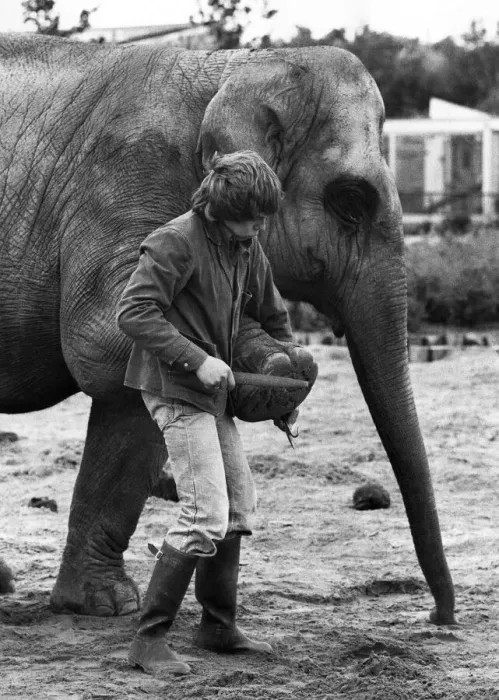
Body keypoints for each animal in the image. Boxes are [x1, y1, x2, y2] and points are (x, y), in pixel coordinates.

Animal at [0, 33, 455, 625]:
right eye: (350, 201)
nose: (440, 617)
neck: (229, 68)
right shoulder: (122, 186)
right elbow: (108, 339)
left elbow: (129, 405)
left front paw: (102, 606)